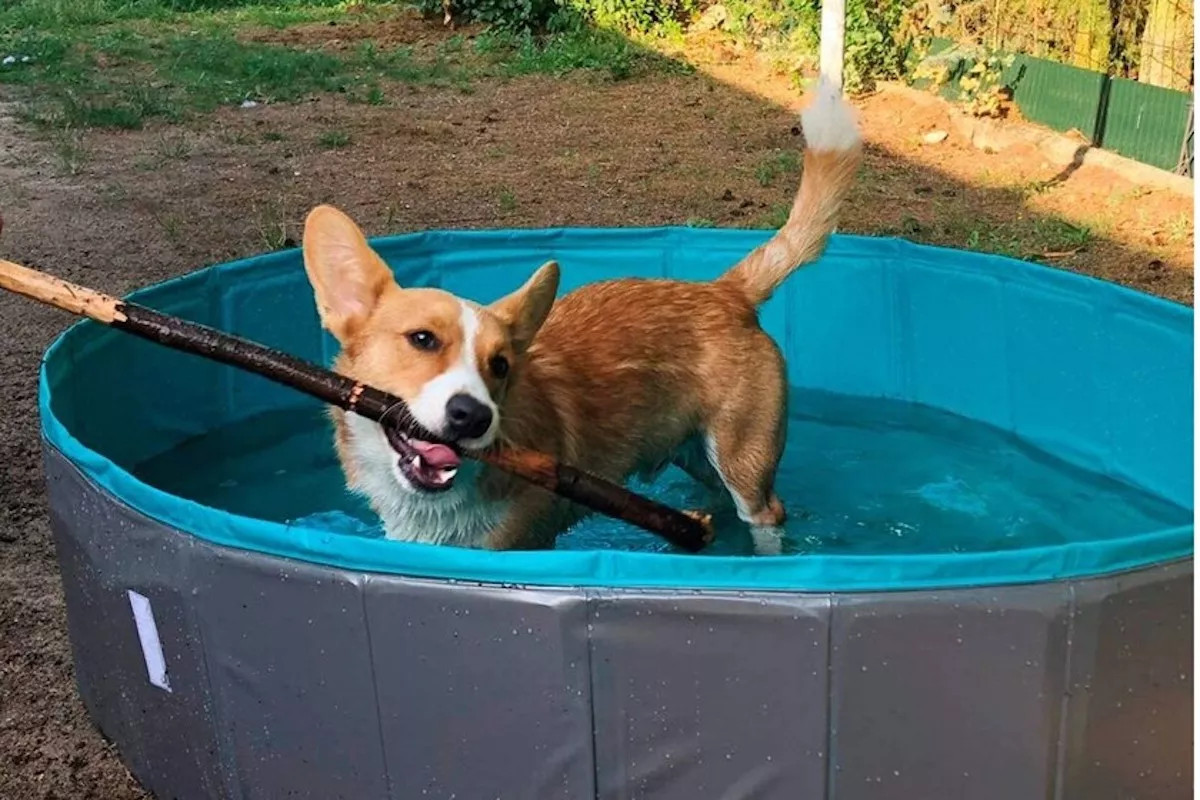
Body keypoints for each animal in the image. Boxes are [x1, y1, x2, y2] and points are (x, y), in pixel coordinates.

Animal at [300, 79, 864, 551]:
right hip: (700, 458)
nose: (473, 416)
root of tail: (727, 291)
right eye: (422, 339)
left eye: (500, 365)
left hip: (742, 459)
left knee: (766, 514)